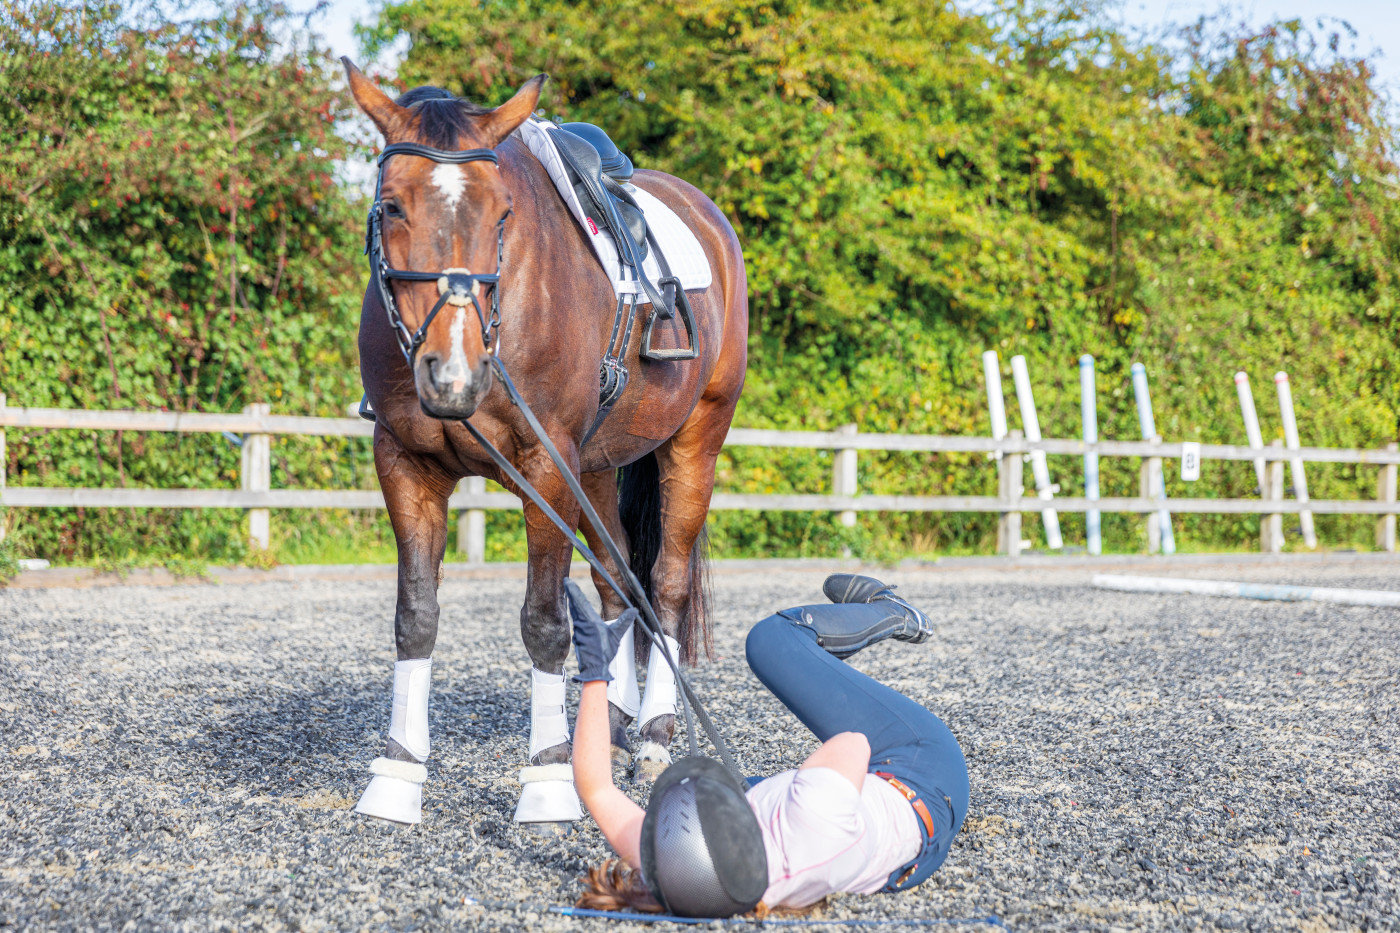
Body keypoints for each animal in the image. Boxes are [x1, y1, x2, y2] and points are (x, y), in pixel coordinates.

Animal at [340, 60, 748, 829]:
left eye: (503, 213)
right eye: (392, 207)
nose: (454, 371)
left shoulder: (543, 467)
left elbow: (544, 621)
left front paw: (549, 781)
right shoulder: (405, 463)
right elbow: (415, 617)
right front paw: (397, 776)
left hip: (694, 440)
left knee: (666, 583)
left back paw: (655, 735)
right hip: (594, 467)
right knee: (618, 580)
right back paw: (609, 721)